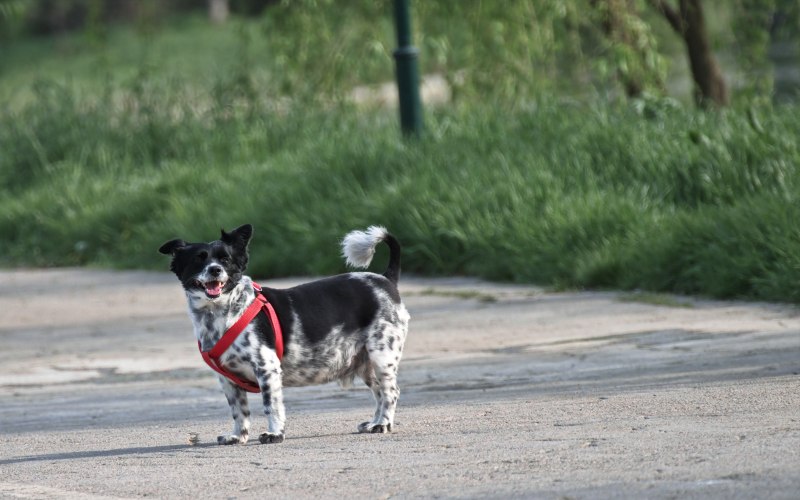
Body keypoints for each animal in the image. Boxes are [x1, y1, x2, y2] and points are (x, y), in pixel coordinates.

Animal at [157, 225, 410, 444]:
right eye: (198, 259)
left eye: (225, 260)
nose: (215, 269)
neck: (221, 315)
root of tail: (385, 279)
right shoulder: (228, 380)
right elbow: (239, 411)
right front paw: (238, 436)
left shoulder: (266, 368)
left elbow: (272, 406)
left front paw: (274, 434)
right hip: (366, 365)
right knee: (379, 393)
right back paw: (374, 422)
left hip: (382, 357)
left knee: (391, 392)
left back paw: (383, 424)